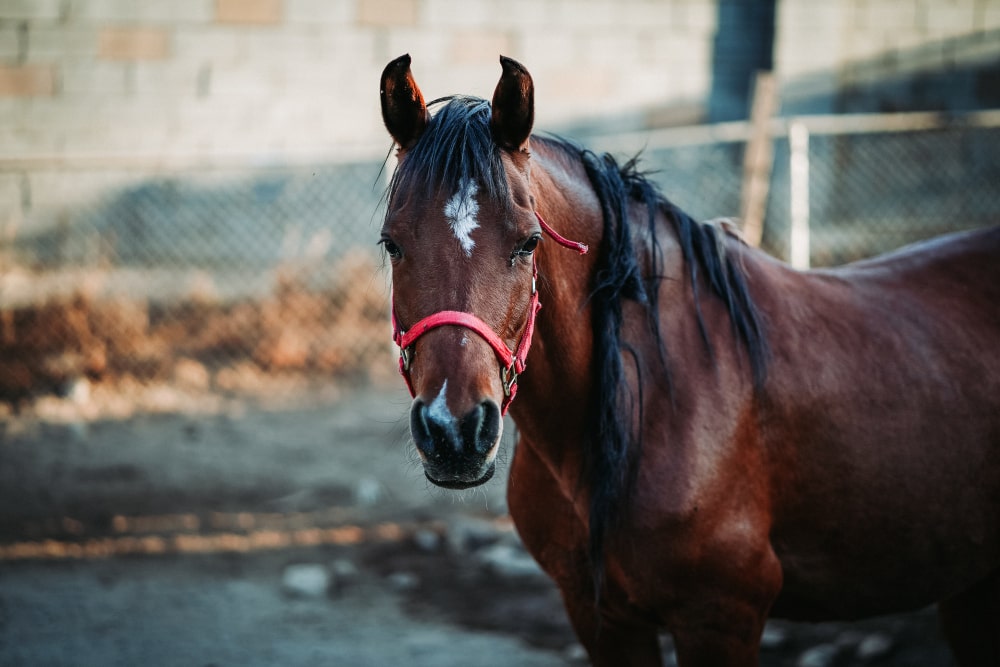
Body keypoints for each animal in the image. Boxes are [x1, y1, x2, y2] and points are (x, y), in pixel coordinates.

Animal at [376, 54, 1000, 666]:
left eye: (529, 243)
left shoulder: (719, 619)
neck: (645, 403)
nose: (454, 431)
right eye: (392, 244)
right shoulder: (601, 618)